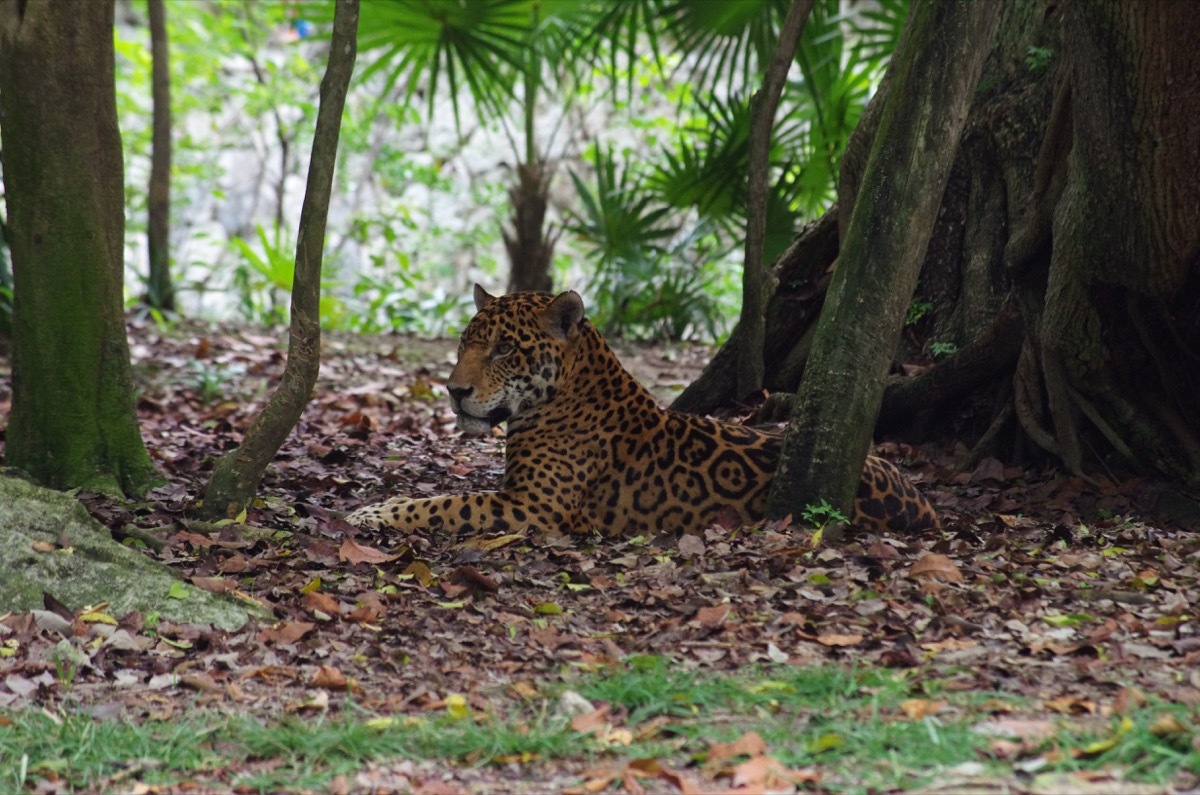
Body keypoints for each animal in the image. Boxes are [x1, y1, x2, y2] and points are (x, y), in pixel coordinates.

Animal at [346, 285, 939, 537]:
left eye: (504, 350)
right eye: (465, 343)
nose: (453, 390)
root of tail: (923, 505)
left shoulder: (535, 506)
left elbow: (444, 503)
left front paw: (373, 513)